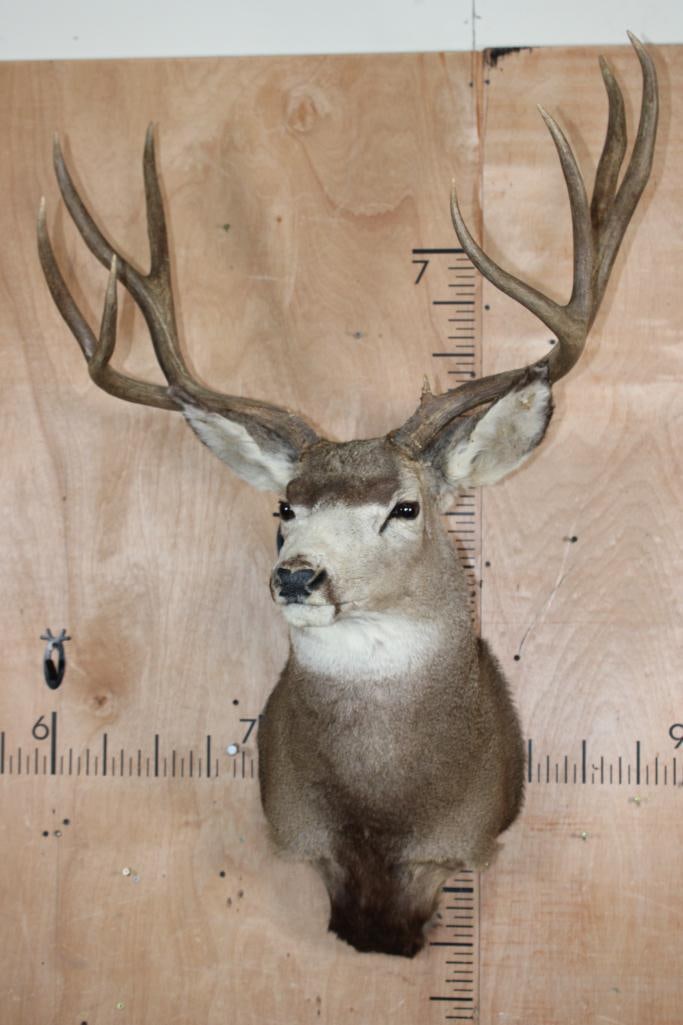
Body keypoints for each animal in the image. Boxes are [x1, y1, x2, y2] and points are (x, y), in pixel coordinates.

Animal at [37, 34, 657, 958]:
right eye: (284, 508)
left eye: (404, 506)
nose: (297, 575)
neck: (381, 816)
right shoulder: (300, 833)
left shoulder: (460, 841)